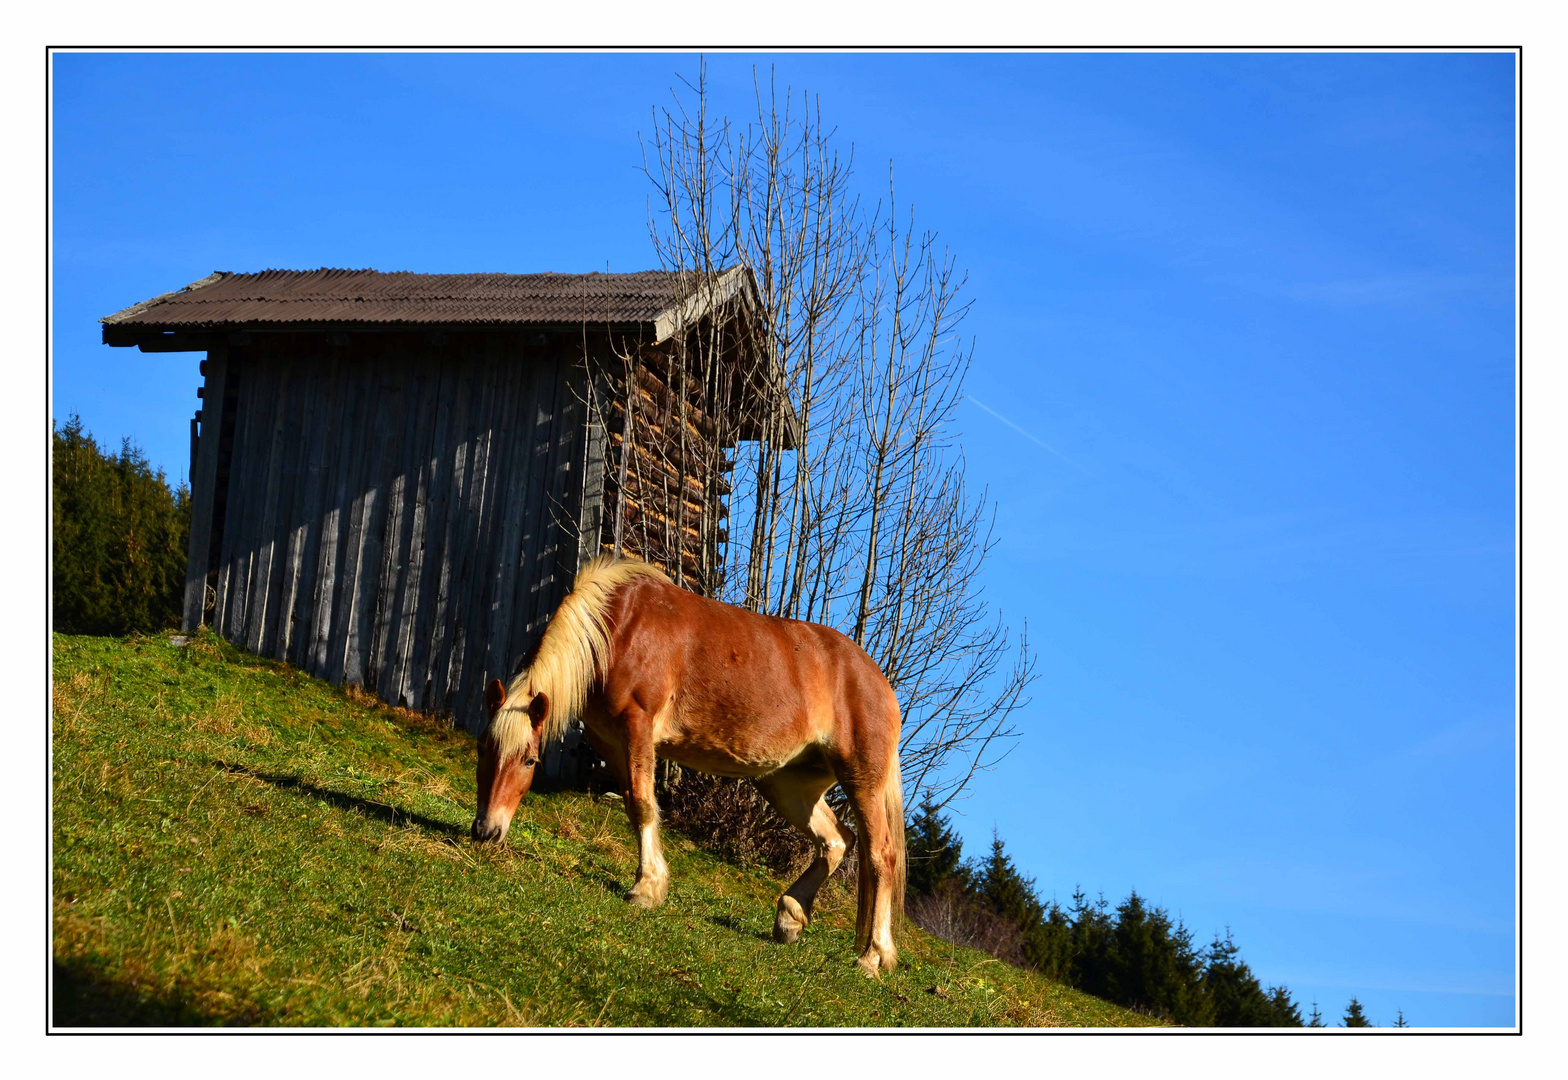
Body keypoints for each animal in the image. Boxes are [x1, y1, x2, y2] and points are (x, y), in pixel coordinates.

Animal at [467, 554, 909, 978]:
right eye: (482, 750)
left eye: (529, 759)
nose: (486, 831)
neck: (619, 628)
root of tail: (878, 681)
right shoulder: (610, 740)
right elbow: (631, 800)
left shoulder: (637, 727)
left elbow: (643, 804)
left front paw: (646, 888)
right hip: (788, 784)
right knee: (836, 840)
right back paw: (790, 917)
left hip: (861, 779)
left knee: (880, 856)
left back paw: (874, 956)